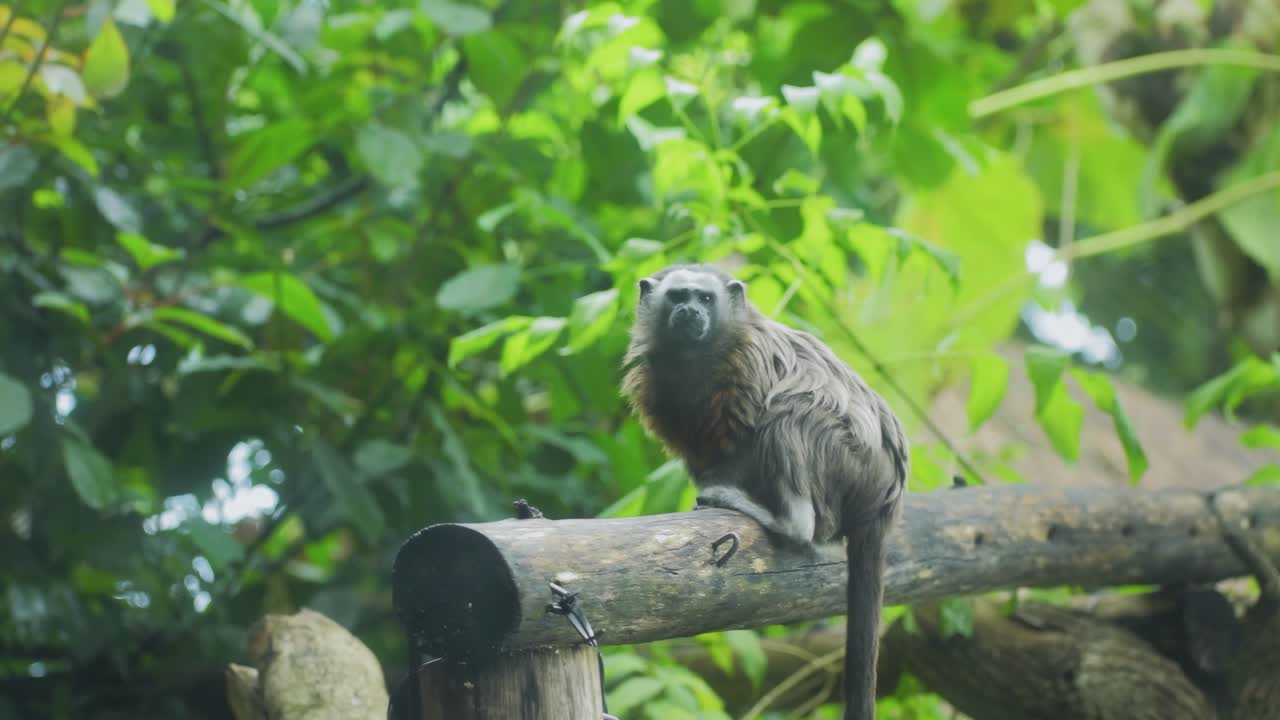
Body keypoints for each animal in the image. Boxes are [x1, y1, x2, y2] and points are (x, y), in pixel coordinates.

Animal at [620, 263, 907, 720]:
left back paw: (786, 519)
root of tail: (885, 496)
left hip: (851, 459)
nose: (690, 312)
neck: (696, 359)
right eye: (678, 297)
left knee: (792, 412)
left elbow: (750, 434)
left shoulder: (749, 363)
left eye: (705, 299)